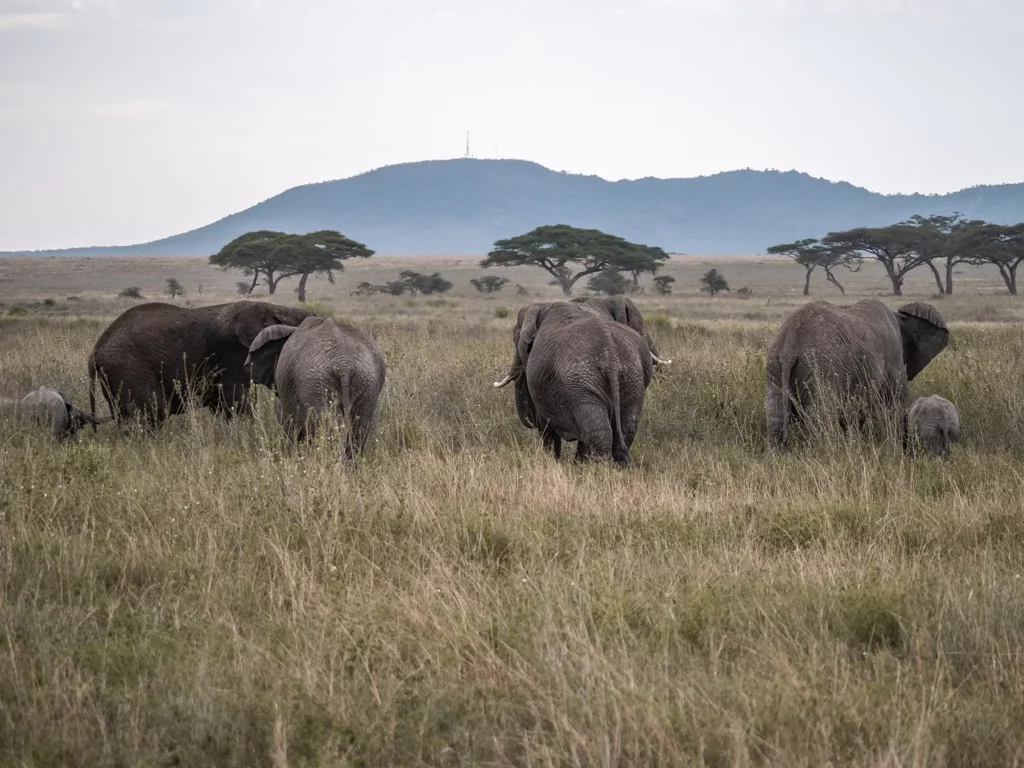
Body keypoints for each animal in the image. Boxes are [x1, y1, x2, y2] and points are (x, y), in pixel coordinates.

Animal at [88, 300, 312, 426]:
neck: (272, 307)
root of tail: (95, 351)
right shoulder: (235, 353)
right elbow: (237, 403)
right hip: (129, 367)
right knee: (152, 413)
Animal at [493, 301, 654, 465]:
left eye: (515, 337)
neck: (543, 306)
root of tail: (611, 356)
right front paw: (577, 463)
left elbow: (546, 427)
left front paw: (552, 461)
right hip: (632, 378)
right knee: (626, 429)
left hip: (580, 383)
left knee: (598, 433)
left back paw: (599, 468)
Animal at [766, 299, 949, 450]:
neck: (899, 317)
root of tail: (790, 344)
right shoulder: (893, 359)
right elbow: (895, 406)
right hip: (819, 370)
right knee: (821, 418)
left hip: (775, 367)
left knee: (776, 418)